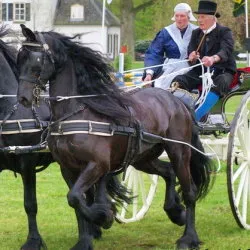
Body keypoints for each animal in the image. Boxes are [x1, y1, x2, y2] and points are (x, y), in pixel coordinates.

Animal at [17, 25, 216, 250]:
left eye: (36, 59)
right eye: (19, 58)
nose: (23, 97)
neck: (75, 113)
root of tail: (176, 100)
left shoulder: (97, 165)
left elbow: (76, 197)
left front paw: (104, 215)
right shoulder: (67, 168)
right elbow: (76, 202)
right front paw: (86, 238)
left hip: (179, 152)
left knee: (189, 191)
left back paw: (189, 237)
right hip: (143, 158)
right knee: (168, 172)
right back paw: (175, 211)